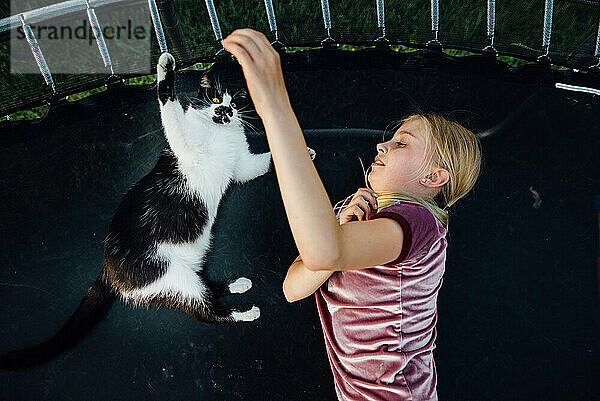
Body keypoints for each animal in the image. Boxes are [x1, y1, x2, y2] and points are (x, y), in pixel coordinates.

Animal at [1, 52, 314, 368]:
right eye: (214, 98)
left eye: (235, 104)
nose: (224, 110)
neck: (218, 133)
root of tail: (107, 269)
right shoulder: (186, 148)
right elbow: (170, 108)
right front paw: (165, 69)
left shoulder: (242, 166)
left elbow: (261, 163)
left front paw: (303, 154)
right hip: (168, 275)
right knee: (205, 312)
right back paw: (245, 311)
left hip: (184, 270)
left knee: (207, 288)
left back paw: (237, 285)